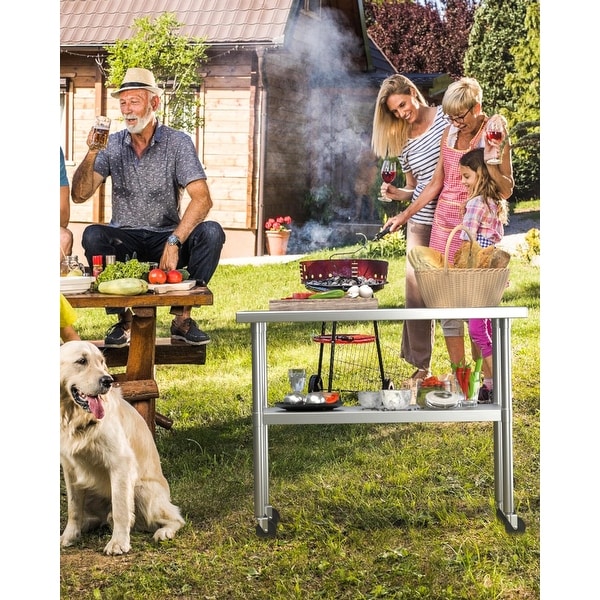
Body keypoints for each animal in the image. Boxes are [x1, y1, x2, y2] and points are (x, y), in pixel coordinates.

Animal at [60, 340, 185, 556]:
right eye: (82, 361)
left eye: (102, 362)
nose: (108, 380)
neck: (78, 419)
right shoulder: (70, 469)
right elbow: (73, 509)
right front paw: (69, 536)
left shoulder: (120, 463)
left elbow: (120, 509)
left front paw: (118, 542)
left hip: (142, 490)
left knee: (176, 517)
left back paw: (164, 532)